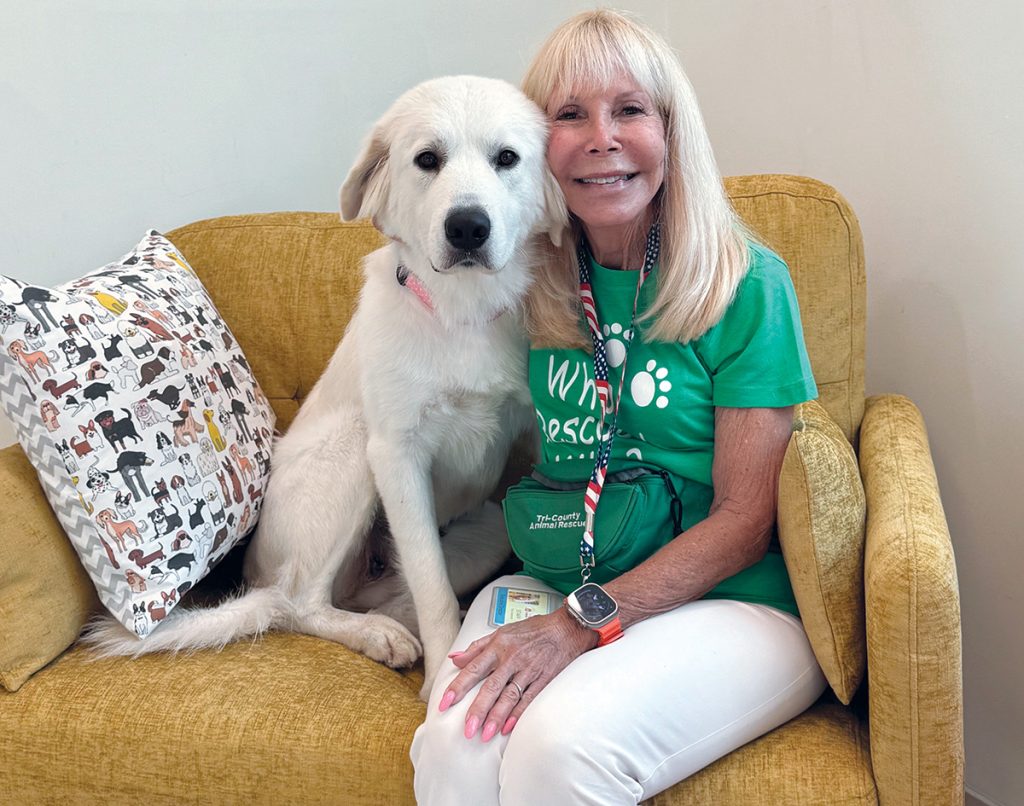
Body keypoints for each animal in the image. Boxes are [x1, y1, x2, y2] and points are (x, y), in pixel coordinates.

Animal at [81, 76, 564, 699]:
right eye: (427, 160)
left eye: (507, 158)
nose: (467, 228)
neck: (461, 312)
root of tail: (256, 575)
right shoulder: (397, 457)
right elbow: (432, 590)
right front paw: (437, 685)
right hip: (353, 452)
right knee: (299, 604)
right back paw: (375, 636)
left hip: (490, 530)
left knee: (380, 597)